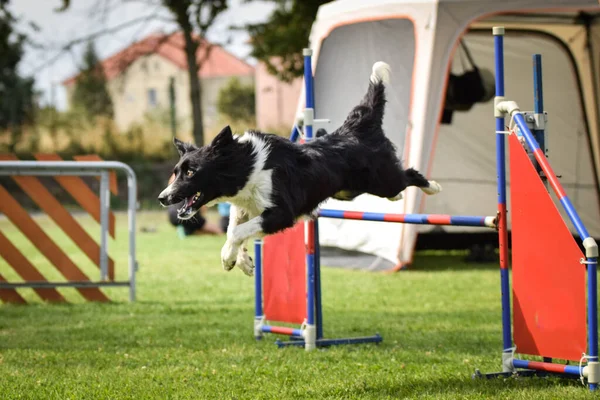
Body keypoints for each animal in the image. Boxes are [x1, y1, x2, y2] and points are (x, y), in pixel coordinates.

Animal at [158, 61, 440, 276]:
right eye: (176, 172)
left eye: (191, 172)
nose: (162, 198)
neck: (247, 166)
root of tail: (355, 129)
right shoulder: (246, 207)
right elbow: (234, 229)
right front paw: (244, 261)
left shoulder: (282, 212)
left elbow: (236, 231)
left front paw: (228, 257)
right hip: (347, 191)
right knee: (395, 186)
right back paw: (400, 196)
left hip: (381, 180)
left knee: (408, 175)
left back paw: (433, 187)